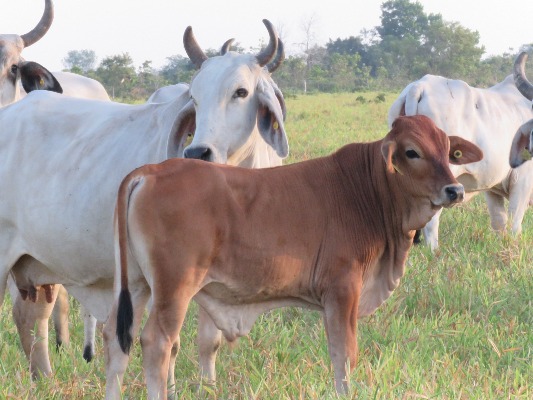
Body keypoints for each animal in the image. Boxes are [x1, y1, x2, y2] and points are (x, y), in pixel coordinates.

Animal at [0, 20, 286, 386]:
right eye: (194, 97)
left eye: (241, 92)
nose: (198, 152)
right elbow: (168, 342)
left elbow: (209, 341)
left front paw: (208, 385)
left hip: (35, 264)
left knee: (31, 317)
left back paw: (46, 380)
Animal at [386, 56, 532, 250]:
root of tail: (419, 86)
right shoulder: (522, 181)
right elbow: (515, 225)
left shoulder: (492, 187)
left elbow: (499, 222)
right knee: (431, 222)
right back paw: (434, 252)